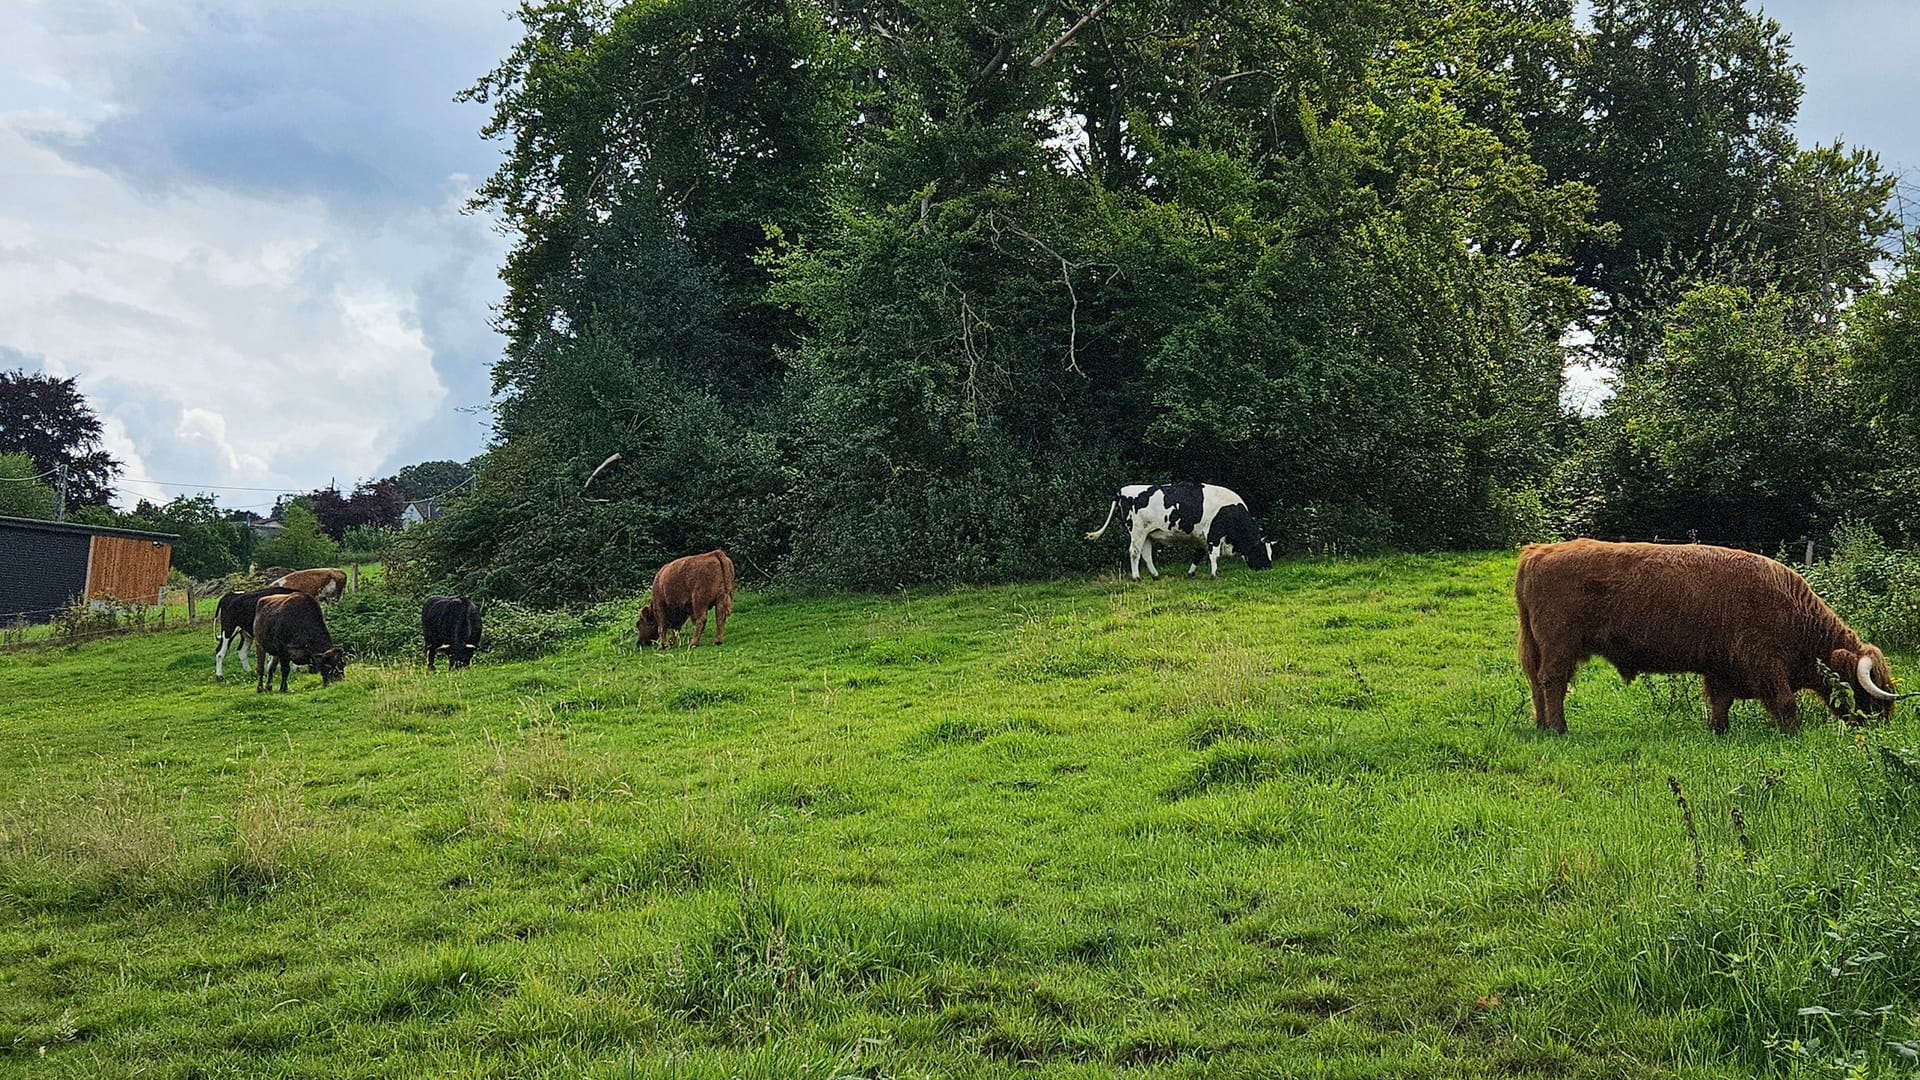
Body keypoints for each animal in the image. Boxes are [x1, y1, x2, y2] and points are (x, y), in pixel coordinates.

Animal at [1512, 534, 1904, 730]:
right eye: (1866, 685)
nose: (1883, 720)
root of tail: (1539, 551)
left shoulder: (1722, 667)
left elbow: (1721, 702)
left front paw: (1719, 730)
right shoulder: (1765, 662)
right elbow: (1785, 703)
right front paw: (1792, 733)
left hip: (1539, 646)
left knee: (1536, 683)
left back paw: (1542, 726)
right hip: (1560, 645)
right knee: (1552, 682)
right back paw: (1558, 727)